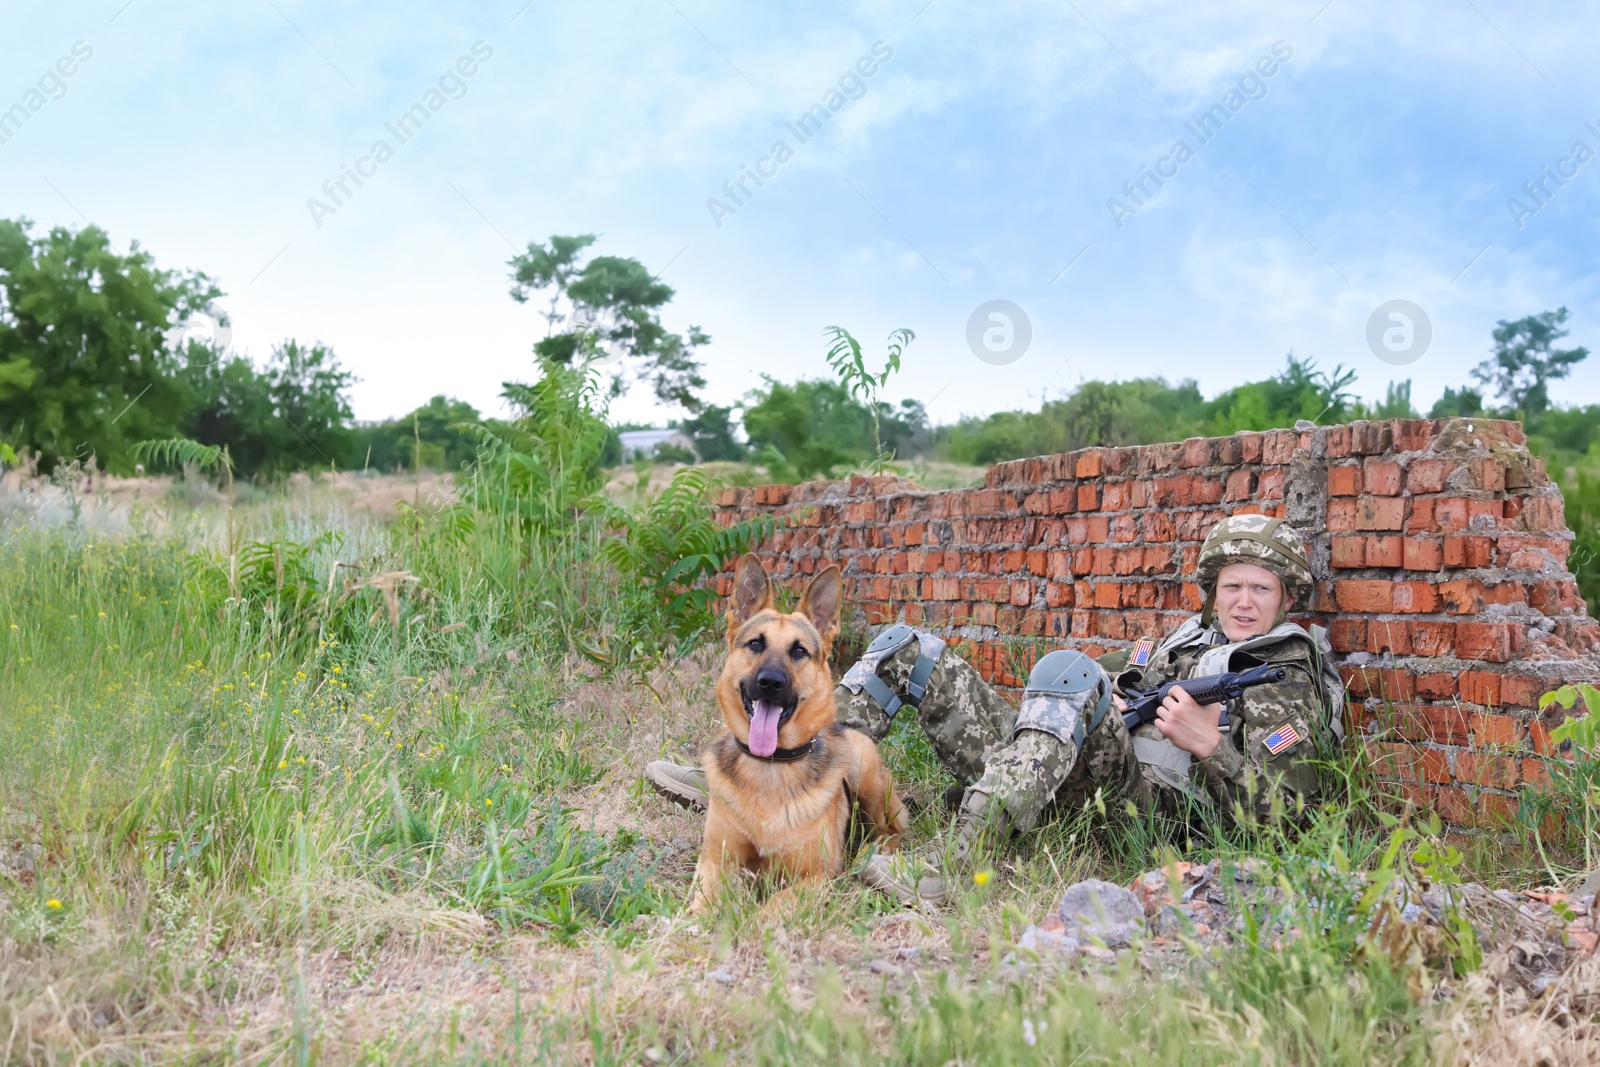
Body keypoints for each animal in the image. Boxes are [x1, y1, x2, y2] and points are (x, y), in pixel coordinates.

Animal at [691, 556, 915, 915]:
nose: (770, 682)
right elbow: (703, 902)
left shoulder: (816, 876)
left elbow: (771, 909)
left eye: (799, 651)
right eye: (756, 643)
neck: (770, 766)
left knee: (889, 830)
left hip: (867, 774)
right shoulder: (715, 860)